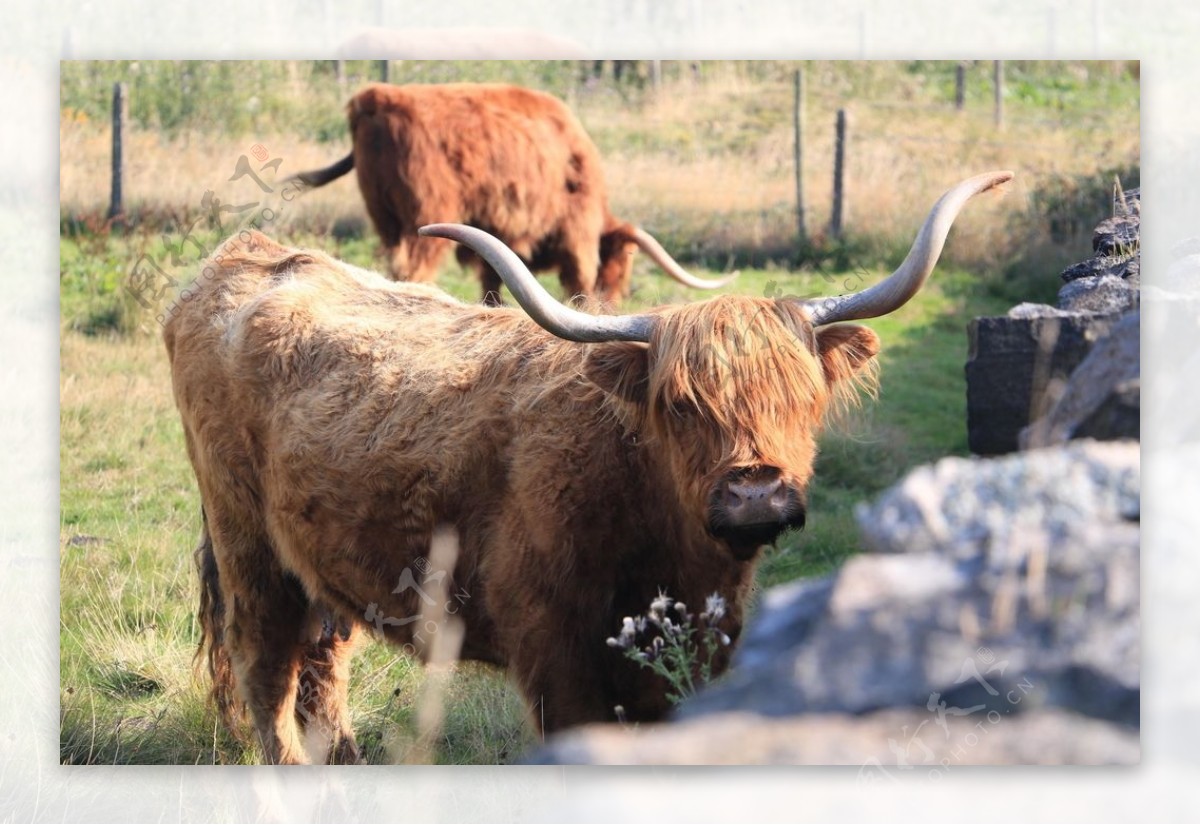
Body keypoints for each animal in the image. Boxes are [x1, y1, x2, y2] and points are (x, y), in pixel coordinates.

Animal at [166, 170, 1012, 762]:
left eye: (802, 398)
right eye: (678, 403)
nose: (756, 497)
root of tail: (248, 252)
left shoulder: (695, 655)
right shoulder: (555, 656)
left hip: (324, 561)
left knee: (321, 664)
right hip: (248, 547)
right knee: (266, 667)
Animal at [288, 82, 729, 305]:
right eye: (627, 258)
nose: (615, 302)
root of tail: (375, 99)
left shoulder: (494, 233)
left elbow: (492, 280)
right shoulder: (578, 232)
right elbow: (579, 279)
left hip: (385, 217)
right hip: (427, 217)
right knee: (412, 269)